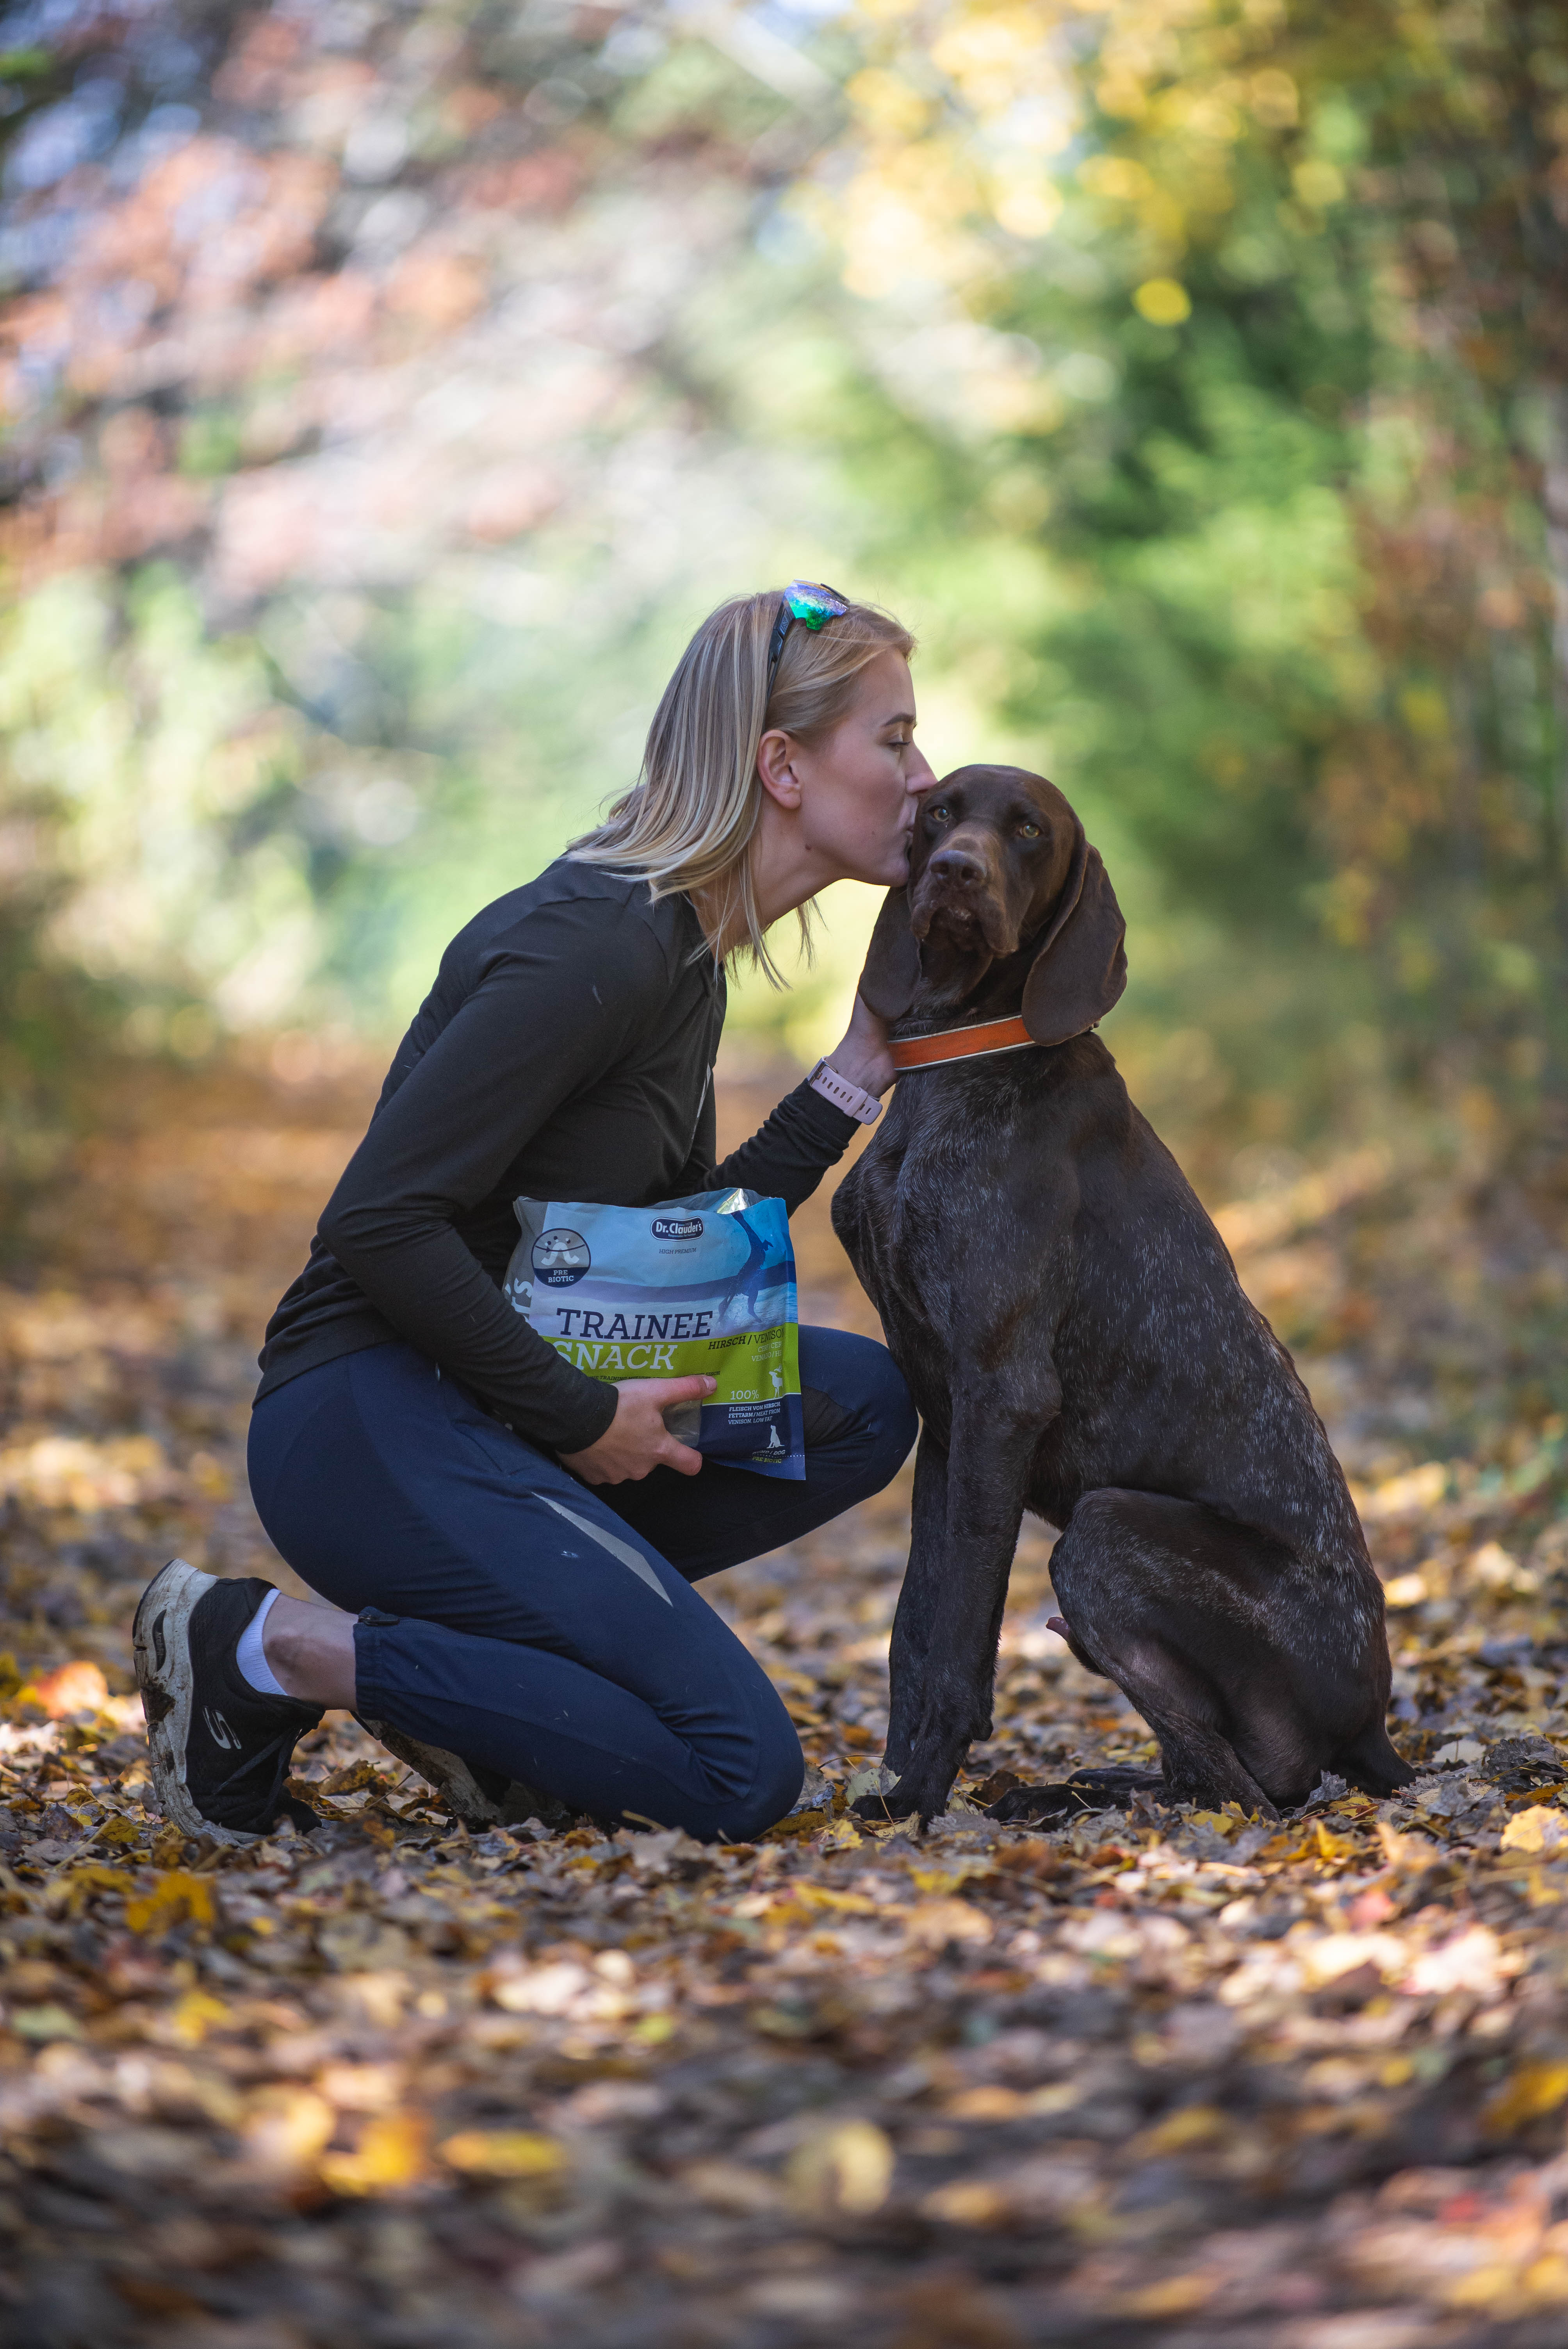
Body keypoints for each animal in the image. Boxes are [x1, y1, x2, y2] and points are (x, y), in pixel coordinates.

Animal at [831, 761, 1418, 1823]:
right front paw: (896, 1781)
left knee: (1252, 1789)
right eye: (939, 812)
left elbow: (957, 1641)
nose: (955, 871)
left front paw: (920, 1796)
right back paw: (1075, 1788)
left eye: (1028, 830)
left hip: (1102, 1530)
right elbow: (912, 1625)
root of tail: (1373, 1724)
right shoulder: (946, 1415)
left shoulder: (1002, 1394)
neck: (959, 1058)